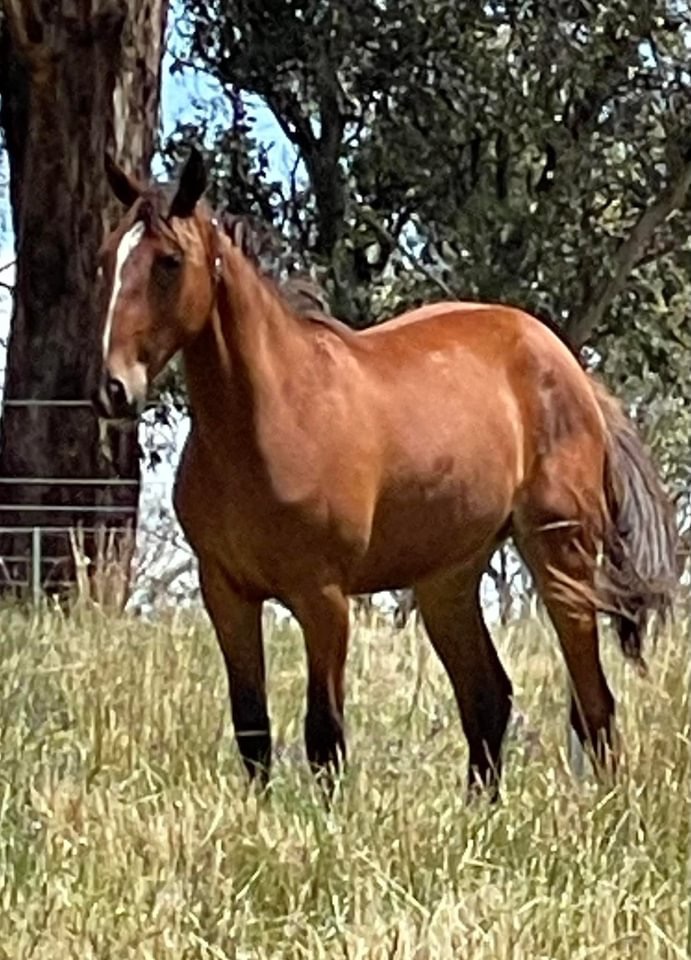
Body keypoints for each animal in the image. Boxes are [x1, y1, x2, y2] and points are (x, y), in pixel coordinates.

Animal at [94, 148, 678, 799]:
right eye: (108, 257)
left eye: (168, 262)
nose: (113, 388)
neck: (273, 415)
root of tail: (572, 371)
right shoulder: (226, 591)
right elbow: (252, 729)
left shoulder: (322, 597)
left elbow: (324, 734)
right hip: (448, 580)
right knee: (488, 698)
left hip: (562, 558)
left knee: (593, 702)